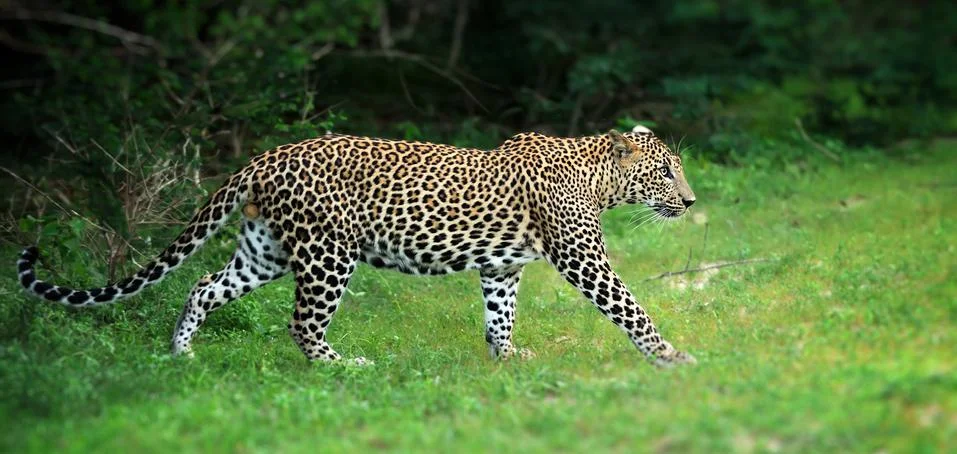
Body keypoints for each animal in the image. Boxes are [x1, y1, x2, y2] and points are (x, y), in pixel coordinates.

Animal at [17, 124, 698, 367]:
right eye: (666, 172)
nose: (691, 203)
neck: (599, 177)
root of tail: (265, 156)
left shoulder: (501, 268)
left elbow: (499, 318)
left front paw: (507, 359)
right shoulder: (583, 257)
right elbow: (632, 308)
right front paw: (673, 357)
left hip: (264, 250)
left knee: (203, 285)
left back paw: (182, 354)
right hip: (326, 254)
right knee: (301, 323)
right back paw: (342, 367)